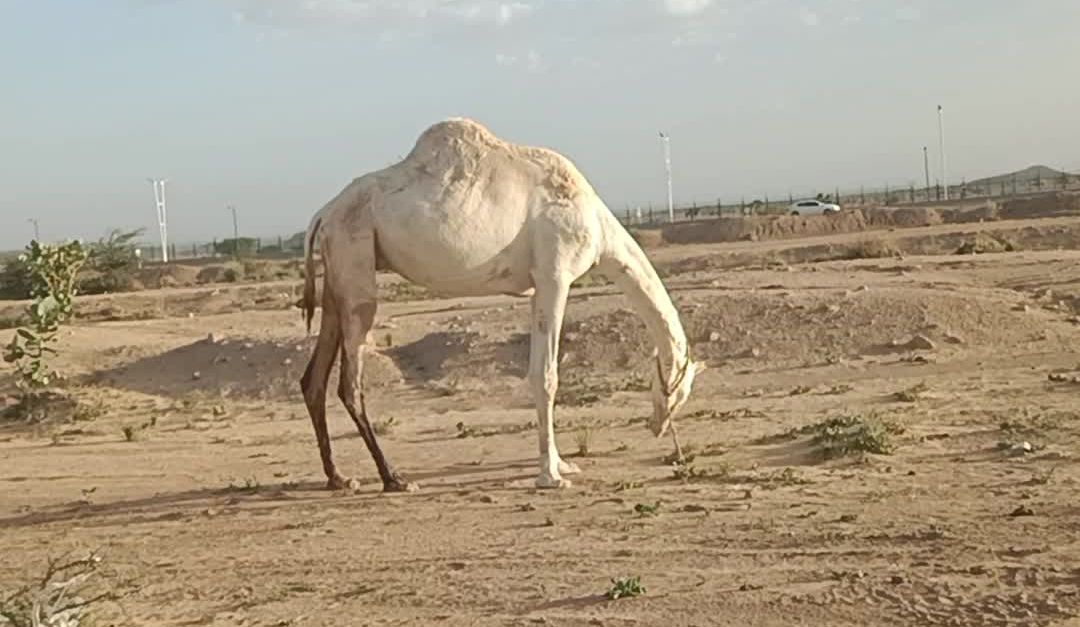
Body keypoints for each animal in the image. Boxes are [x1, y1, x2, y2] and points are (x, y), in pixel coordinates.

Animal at [299, 117, 699, 492]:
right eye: (681, 390)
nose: (658, 427)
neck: (598, 228)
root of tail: (323, 214)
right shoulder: (556, 275)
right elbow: (547, 376)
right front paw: (551, 476)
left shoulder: (539, 286)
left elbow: (538, 371)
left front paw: (563, 464)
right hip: (355, 260)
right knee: (349, 384)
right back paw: (393, 478)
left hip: (337, 276)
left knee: (312, 378)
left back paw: (339, 478)